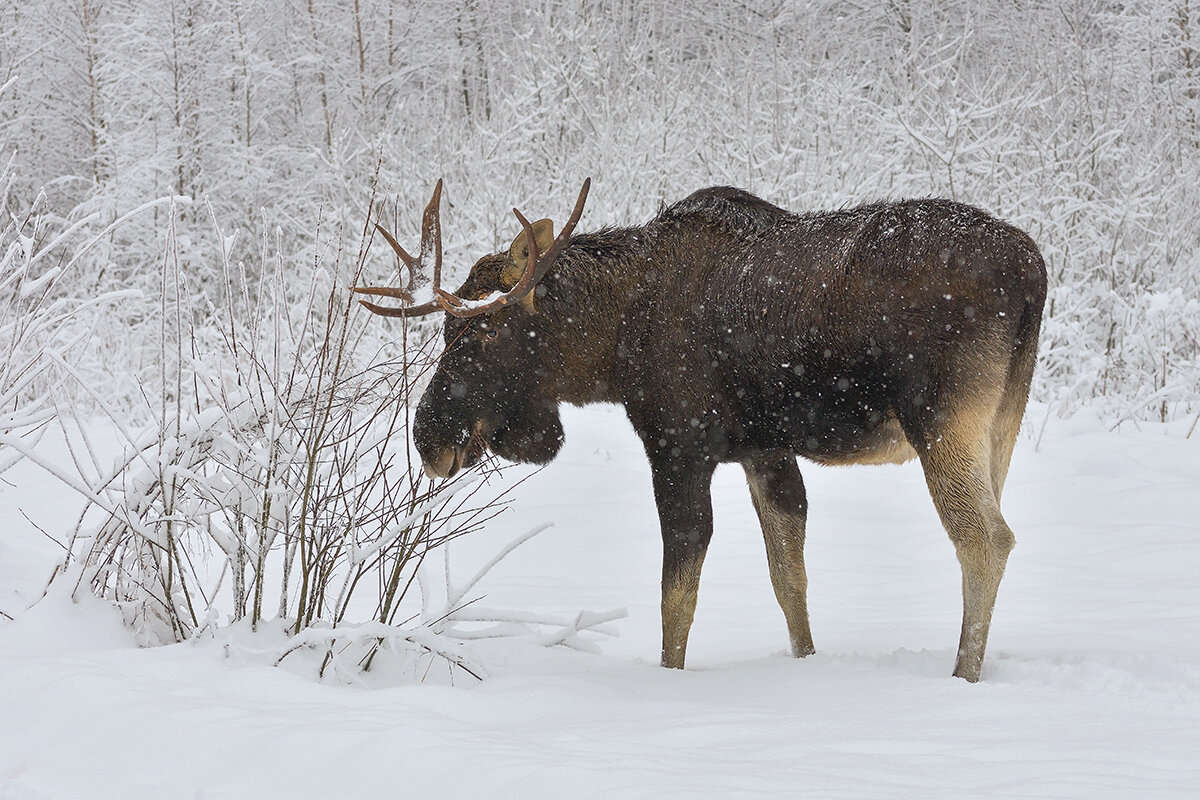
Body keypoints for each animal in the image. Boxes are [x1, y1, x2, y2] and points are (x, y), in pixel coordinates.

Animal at [350, 179, 1046, 681]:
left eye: (482, 330)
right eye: (449, 329)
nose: (429, 438)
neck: (612, 346)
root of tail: (1034, 271)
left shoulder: (678, 447)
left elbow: (675, 600)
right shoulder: (766, 451)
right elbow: (788, 579)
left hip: (943, 420)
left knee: (987, 540)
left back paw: (961, 677)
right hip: (1001, 423)